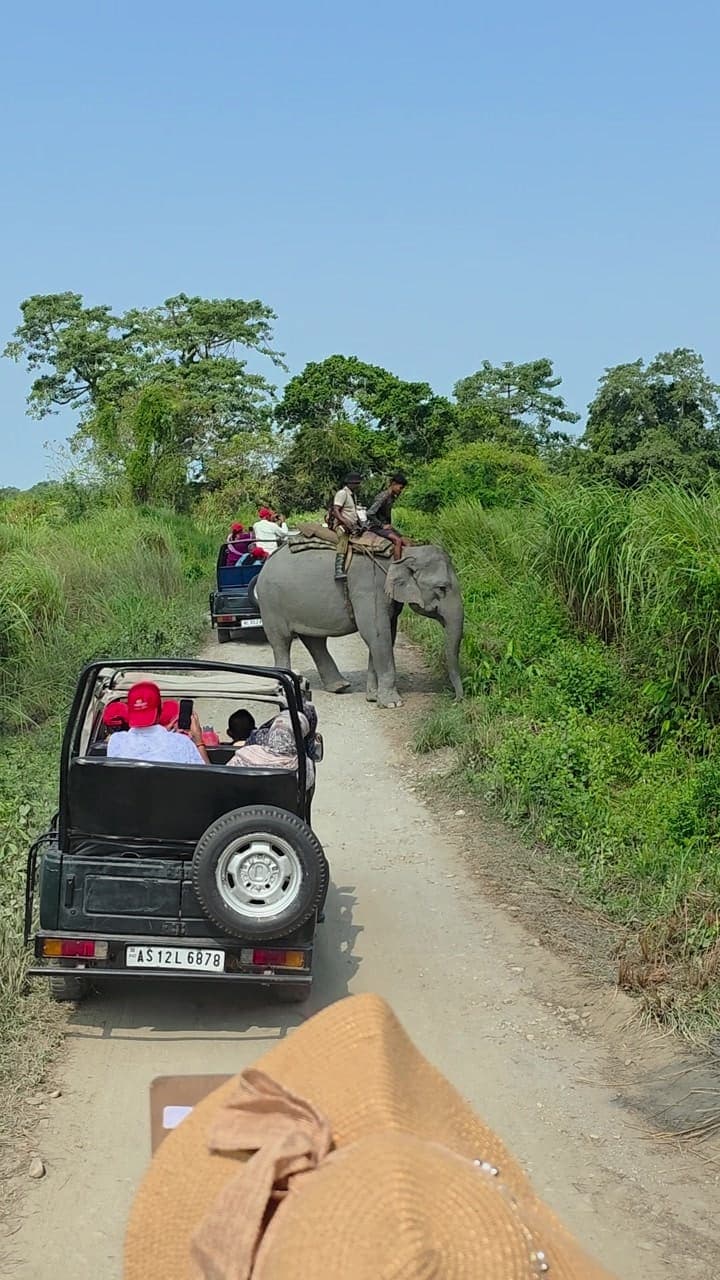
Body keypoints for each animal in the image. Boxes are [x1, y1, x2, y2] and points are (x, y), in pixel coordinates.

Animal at [254, 542, 464, 708]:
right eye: (442, 588)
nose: (456, 700)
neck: (400, 553)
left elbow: (385, 635)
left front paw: (373, 697)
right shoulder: (369, 588)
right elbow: (377, 634)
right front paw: (393, 703)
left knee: (314, 641)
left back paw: (340, 686)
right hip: (271, 603)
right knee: (281, 641)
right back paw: (283, 687)